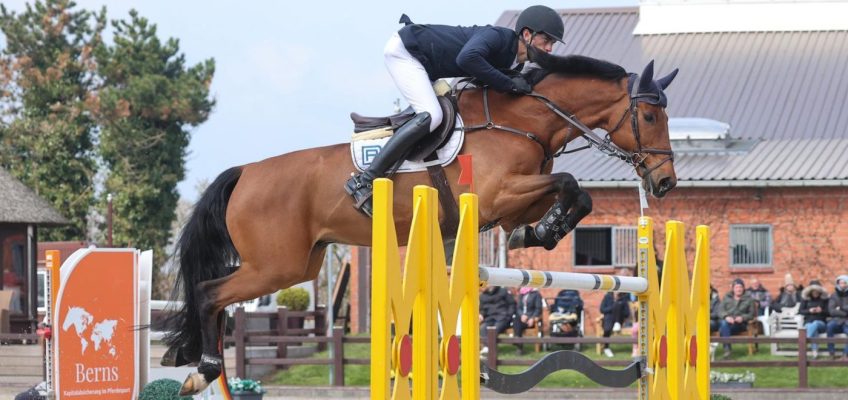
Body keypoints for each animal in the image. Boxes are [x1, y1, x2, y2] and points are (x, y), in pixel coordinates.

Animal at [169, 47, 680, 394]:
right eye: (650, 115)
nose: (665, 183)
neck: (525, 118)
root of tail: (246, 172)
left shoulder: (514, 202)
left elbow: (576, 196)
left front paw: (540, 231)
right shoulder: (496, 195)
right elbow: (571, 182)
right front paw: (545, 230)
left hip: (299, 264)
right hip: (276, 266)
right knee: (209, 293)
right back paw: (205, 369)